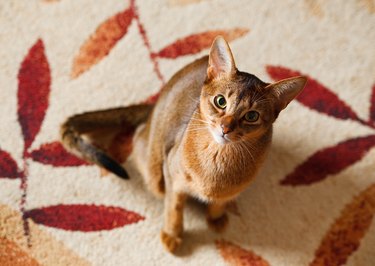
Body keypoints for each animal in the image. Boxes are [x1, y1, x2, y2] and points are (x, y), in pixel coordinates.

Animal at [61, 36, 306, 252]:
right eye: (220, 101)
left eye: (252, 116)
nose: (225, 128)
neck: (219, 160)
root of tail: (154, 106)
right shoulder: (172, 176)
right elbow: (174, 209)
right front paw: (173, 235)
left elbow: (219, 202)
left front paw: (216, 217)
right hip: (153, 167)